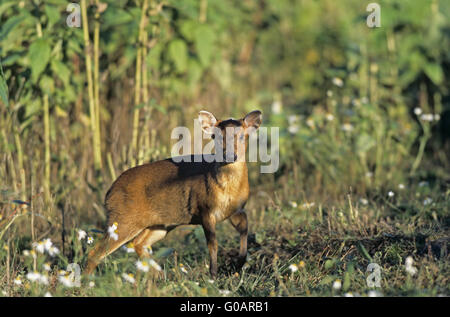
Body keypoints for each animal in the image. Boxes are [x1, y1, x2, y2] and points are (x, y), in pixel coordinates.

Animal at [85, 110, 262, 276]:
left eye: (242, 136)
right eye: (216, 137)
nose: (230, 155)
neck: (227, 190)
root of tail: (109, 194)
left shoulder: (237, 210)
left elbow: (245, 231)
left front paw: (238, 264)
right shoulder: (205, 210)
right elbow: (213, 244)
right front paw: (213, 274)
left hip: (159, 224)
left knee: (139, 243)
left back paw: (161, 276)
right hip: (123, 219)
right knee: (95, 252)